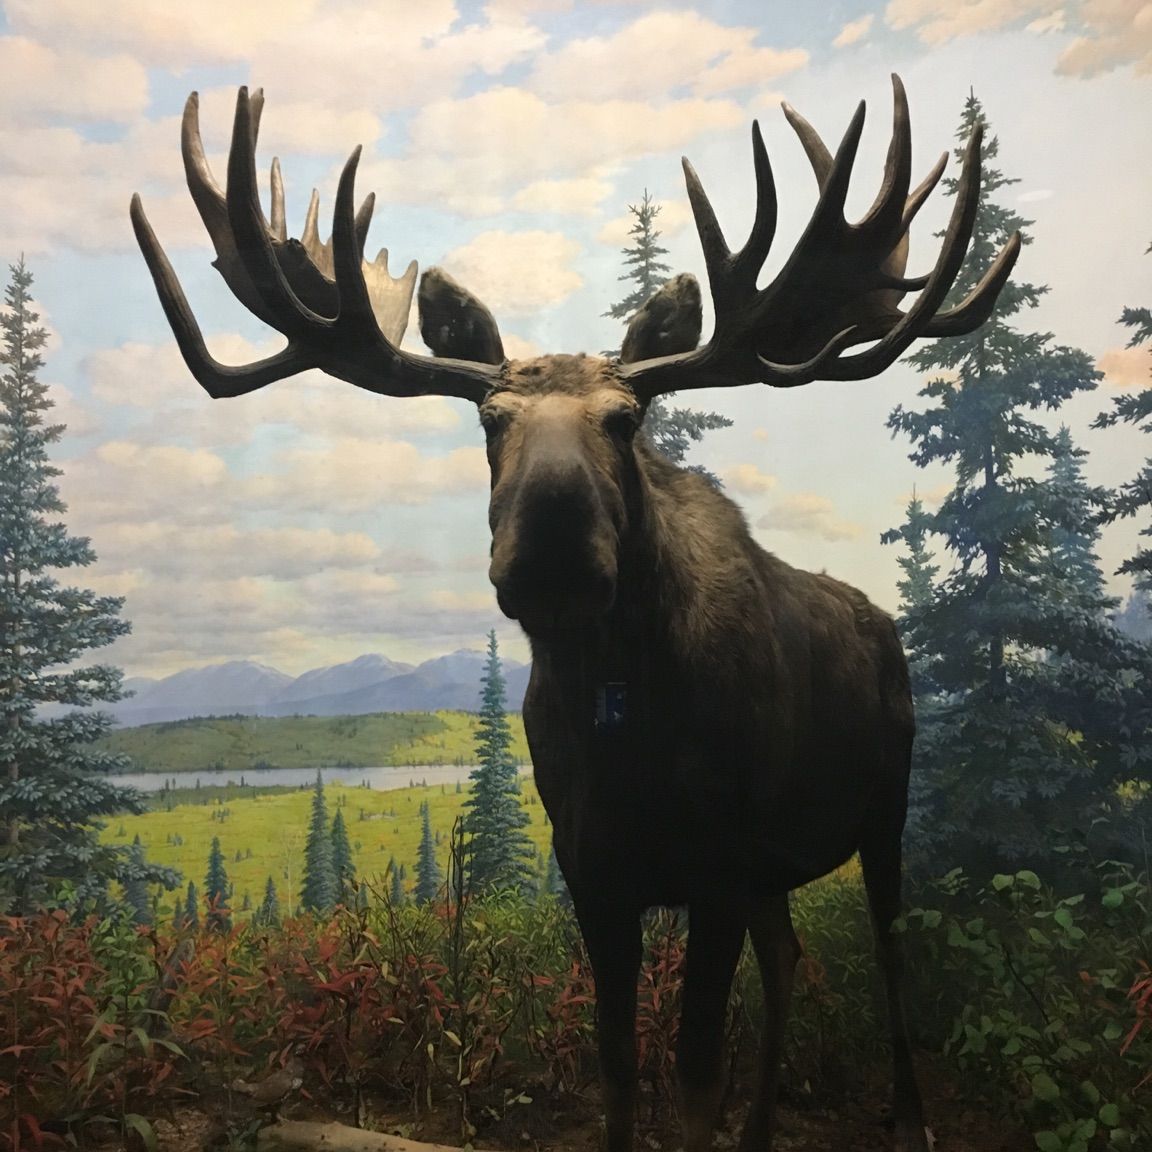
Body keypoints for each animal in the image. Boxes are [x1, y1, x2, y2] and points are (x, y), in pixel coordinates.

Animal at [131, 77, 1019, 1152]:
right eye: (490, 421)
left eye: (626, 419)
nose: (549, 546)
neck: (623, 717)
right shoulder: (595, 871)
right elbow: (617, 1070)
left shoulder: (717, 870)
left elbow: (692, 1076)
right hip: (780, 866)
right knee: (791, 956)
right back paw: (766, 1126)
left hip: (883, 809)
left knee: (890, 957)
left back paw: (908, 1117)